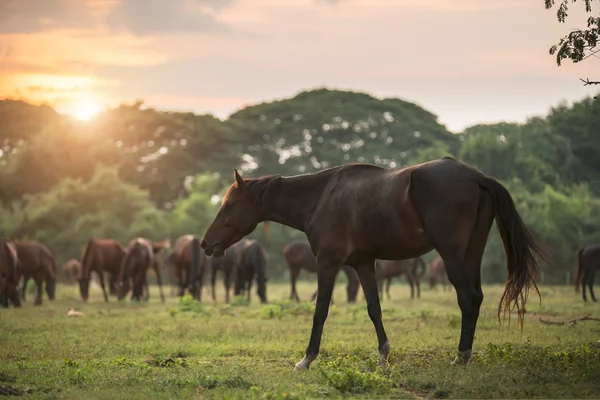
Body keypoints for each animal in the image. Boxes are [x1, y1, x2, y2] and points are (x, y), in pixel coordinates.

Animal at [200, 158, 544, 370]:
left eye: (230, 204)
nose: (205, 243)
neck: (321, 197)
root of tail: (477, 177)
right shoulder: (364, 264)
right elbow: (374, 309)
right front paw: (384, 356)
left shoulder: (328, 263)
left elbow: (320, 310)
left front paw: (307, 359)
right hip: (472, 253)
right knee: (477, 296)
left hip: (451, 254)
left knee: (467, 297)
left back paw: (461, 356)